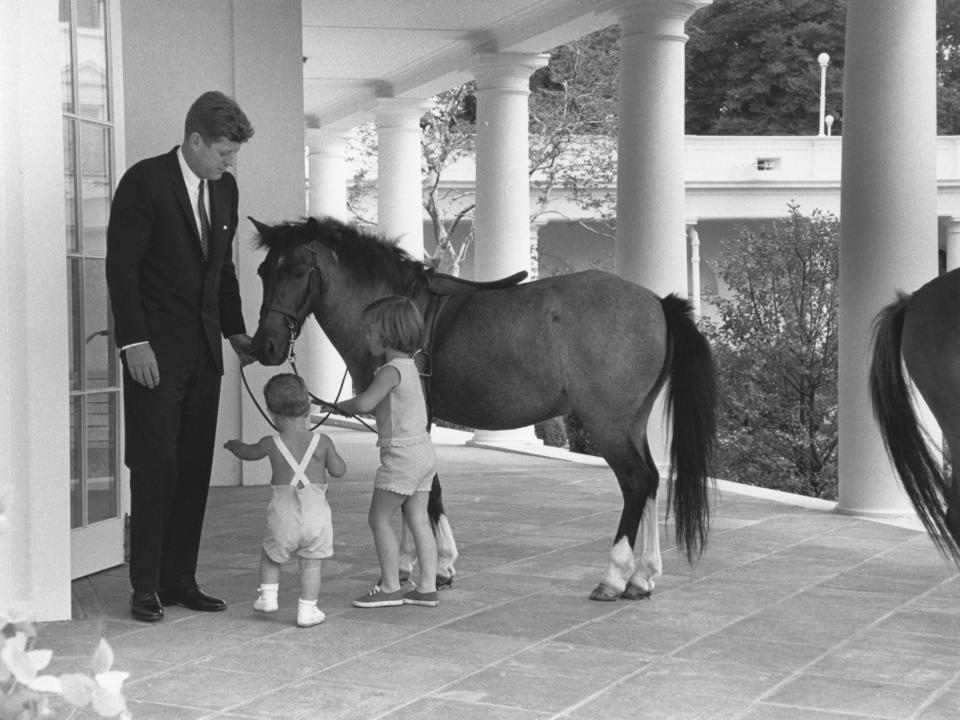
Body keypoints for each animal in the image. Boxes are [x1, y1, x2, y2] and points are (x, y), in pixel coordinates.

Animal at [251, 217, 716, 600]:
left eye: (297, 271)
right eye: (263, 271)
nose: (265, 345)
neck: (395, 309)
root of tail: (656, 302)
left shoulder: (408, 418)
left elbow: (423, 489)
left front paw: (437, 566)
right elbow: (411, 488)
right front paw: (409, 563)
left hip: (608, 423)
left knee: (636, 481)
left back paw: (615, 576)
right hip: (632, 421)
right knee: (652, 480)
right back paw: (643, 576)